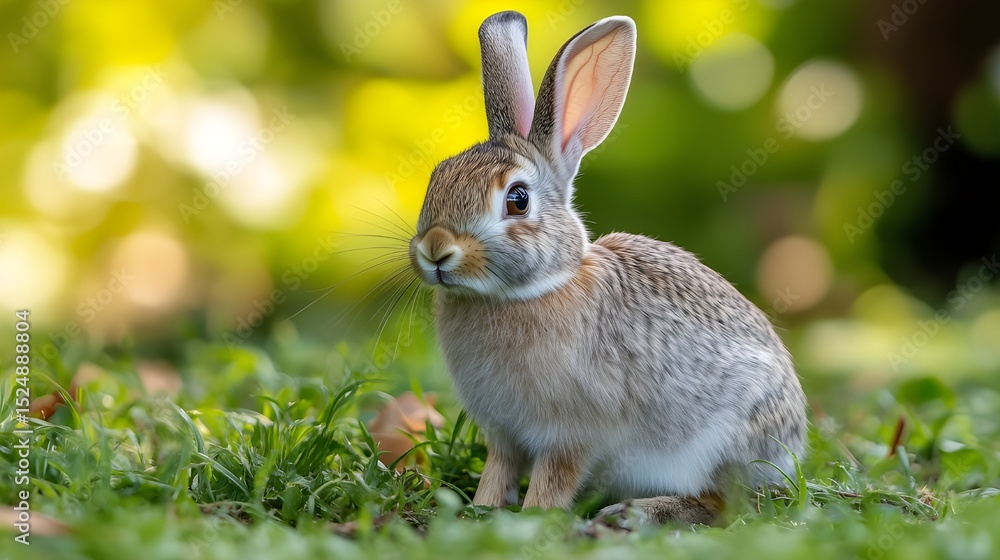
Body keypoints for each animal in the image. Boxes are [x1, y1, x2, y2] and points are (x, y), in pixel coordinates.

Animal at [407, 10, 807, 527]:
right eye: (436, 177)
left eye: (517, 199)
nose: (435, 248)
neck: (531, 290)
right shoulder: (503, 435)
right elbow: (499, 470)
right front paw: (481, 508)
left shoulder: (571, 435)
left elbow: (553, 479)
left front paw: (534, 517)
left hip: (718, 444)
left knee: (722, 502)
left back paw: (633, 513)